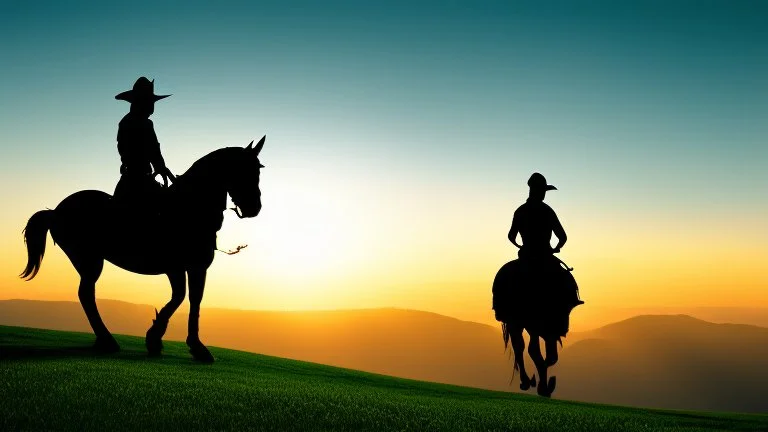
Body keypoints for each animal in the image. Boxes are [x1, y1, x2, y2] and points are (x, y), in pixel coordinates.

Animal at [20, 136, 268, 362]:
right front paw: (181, 344)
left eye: (258, 169)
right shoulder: (184, 267)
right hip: (89, 260)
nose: (253, 207)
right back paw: (107, 340)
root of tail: (55, 211)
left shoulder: (188, 268)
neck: (188, 207)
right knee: (86, 294)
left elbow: (187, 299)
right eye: (242, 169)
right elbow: (185, 298)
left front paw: (165, 340)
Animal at [492, 253, 584, 398]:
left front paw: (544, 384)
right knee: (524, 348)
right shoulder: (541, 327)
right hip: (521, 323)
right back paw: (529, 382)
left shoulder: (549, 331)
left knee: (523, 348)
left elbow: (550, 357)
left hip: (522, 323)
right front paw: (544, 385)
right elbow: (542, 354)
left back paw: (530, 382)